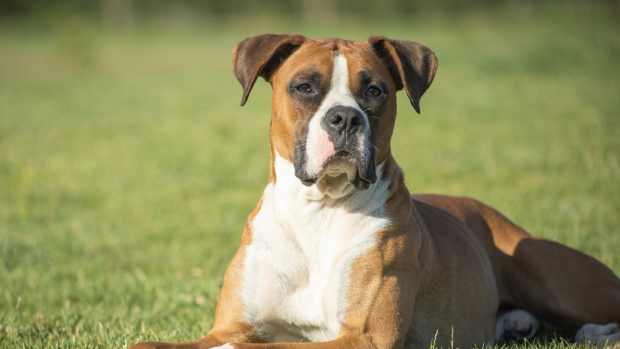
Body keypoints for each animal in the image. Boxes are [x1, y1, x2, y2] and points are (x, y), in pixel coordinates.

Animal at [128, 33, 616, 348]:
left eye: (376, 90)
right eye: (304, 87)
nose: (344, 117)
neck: (318, 212)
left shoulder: (362, 337)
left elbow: (260, 347)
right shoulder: (228, 327)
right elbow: (156, 344)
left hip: (546, 269)